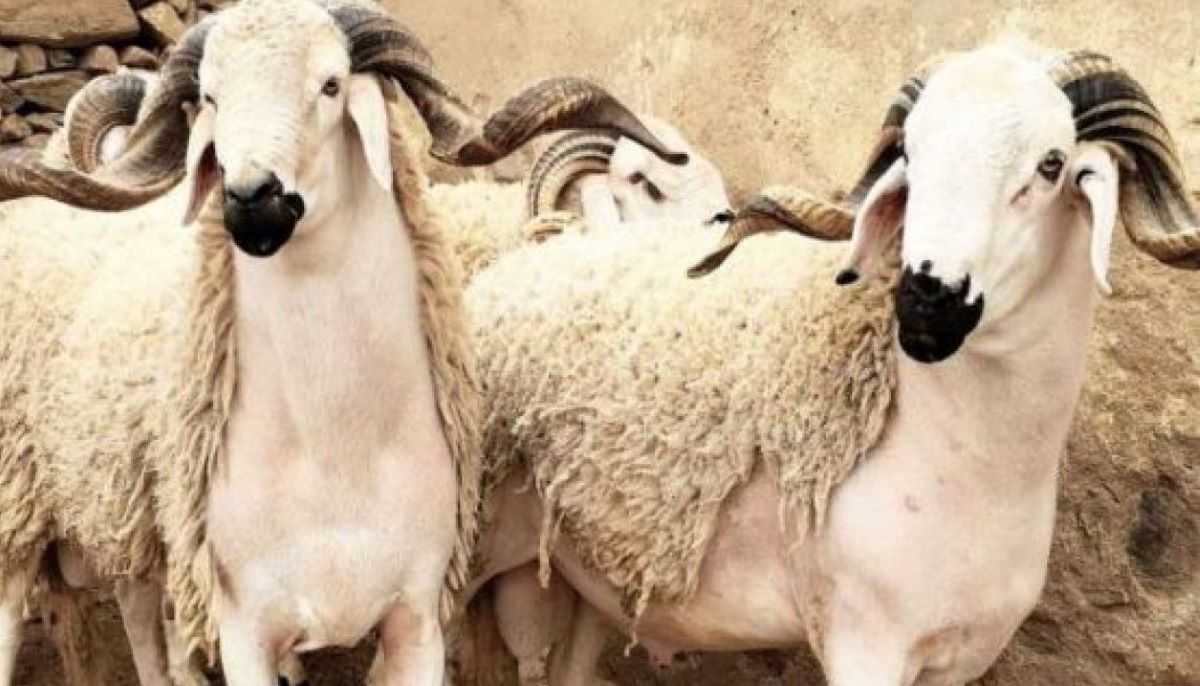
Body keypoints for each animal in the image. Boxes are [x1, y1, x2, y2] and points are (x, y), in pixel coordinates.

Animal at [0, 0, 685, 684]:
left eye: (330, 85)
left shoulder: (418, 620)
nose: (250, 200)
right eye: (212, 96)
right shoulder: (246, 625)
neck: (334, 451)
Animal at [457, 41, 1200, 686]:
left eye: (1051, 164)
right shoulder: (865, 640)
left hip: (592, 575)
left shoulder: (957, 656)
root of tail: (529, 254)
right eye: (911, 155)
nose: (926, 297)